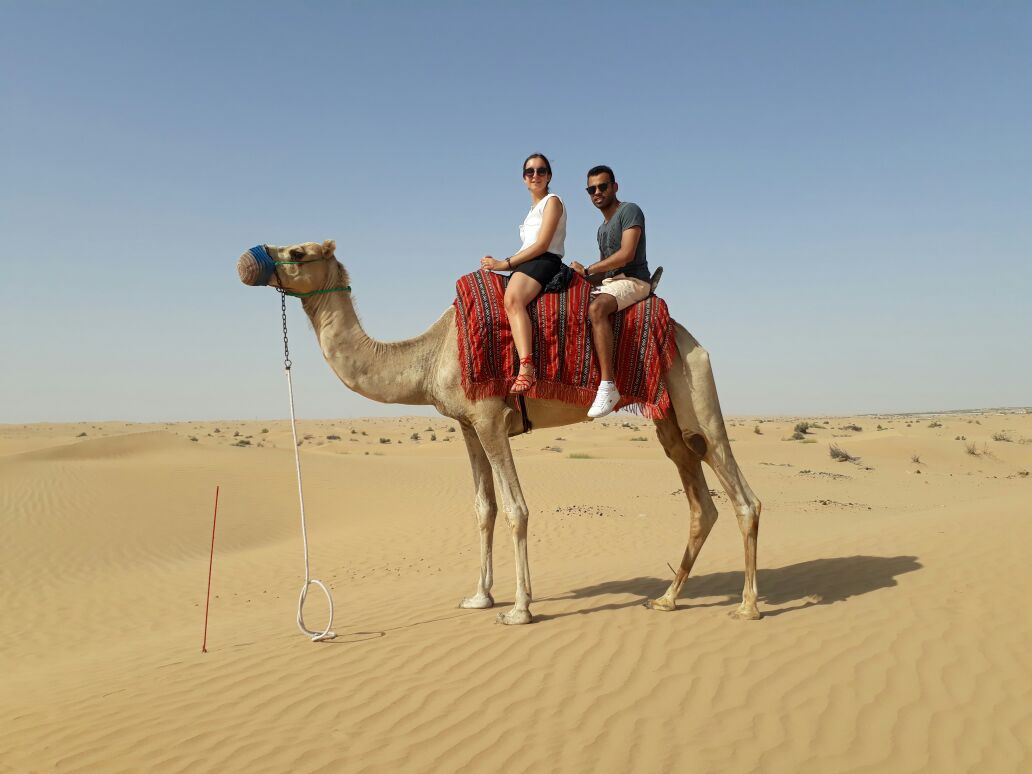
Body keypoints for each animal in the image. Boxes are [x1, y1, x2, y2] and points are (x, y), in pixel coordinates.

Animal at [237, 240, 762, 624]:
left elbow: (516, 509)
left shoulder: (490, 418)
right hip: (668, 418)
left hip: (695, 392)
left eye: (297, 252)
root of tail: (690, 337)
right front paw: (479, 597)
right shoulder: (467, 426)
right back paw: (668, 598)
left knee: (743, 496)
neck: (431, 353)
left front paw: (519, 608)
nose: (246, 260)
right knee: (701, 501)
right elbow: (483, 508)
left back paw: (748, 605)